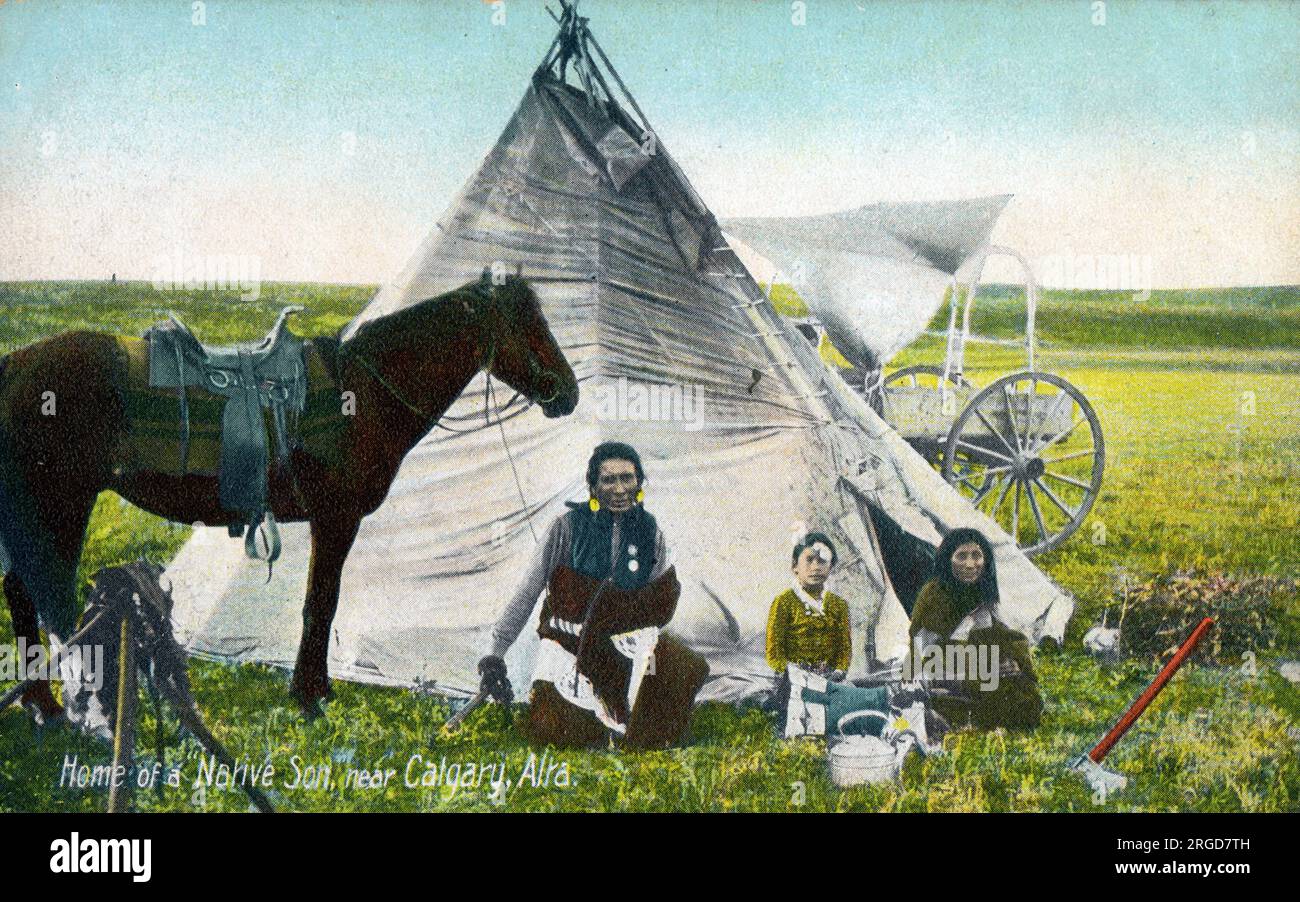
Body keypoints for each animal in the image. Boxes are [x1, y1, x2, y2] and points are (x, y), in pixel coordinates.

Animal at [0, 274, 579, 722]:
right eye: (527, 324)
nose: (569, 392)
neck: (363, 393)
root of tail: (16, 365)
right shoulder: (337, 518)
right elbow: (320, 603)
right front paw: (309, 695)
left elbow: (321, 603)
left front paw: (315, 687)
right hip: (59, 506)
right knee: (35, 596)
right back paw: (55, 704)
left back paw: (41, 702)